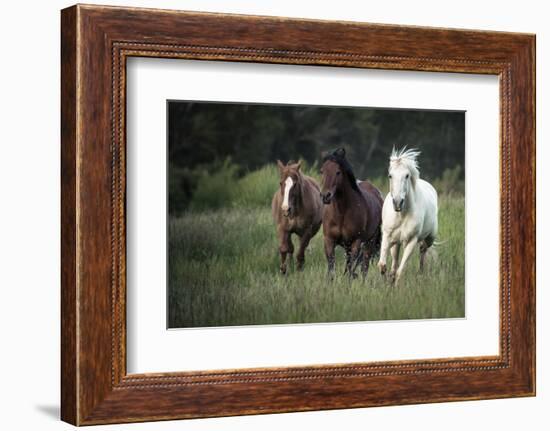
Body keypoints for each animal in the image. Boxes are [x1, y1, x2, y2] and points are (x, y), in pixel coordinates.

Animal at [322, 148, 386, 280]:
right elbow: (331, 268)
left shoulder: (356, 242)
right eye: (322, 171)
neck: (341, 213)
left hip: (369, 242)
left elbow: (351, 268)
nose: (325, 196)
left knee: (364, 266)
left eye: (338, 172)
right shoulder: (329, 240)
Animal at [378, 149, 438, 286]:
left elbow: (400, 271)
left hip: (430, 238)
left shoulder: (411, 241)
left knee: (423, 250)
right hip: (396, 243)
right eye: (390, 175)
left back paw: (420, 274)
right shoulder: (388, 236)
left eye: (406, 176)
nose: (397, 202)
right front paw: (386, 283)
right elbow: (383, 265)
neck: (402, 214)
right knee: (394, 262)